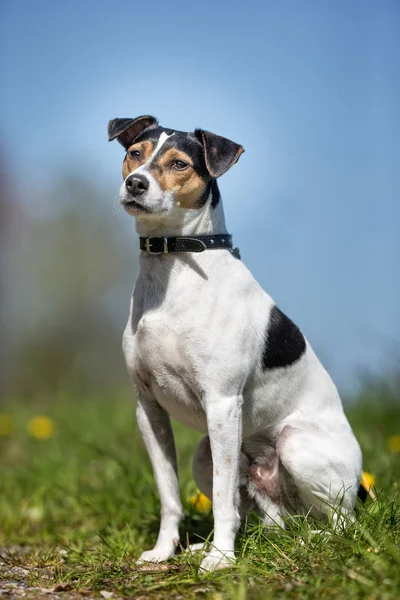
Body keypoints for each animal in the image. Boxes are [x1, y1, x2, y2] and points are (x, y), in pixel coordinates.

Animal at [107, 115, 362, 568]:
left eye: (179, 164)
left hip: (295, 444)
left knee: (339, 524)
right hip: (206, 454)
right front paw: (163, 550)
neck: (173, 268)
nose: (136, 183)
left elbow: (223, 499)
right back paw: (214, 544)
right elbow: (169, 493)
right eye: (134, 154)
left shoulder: (223, 401)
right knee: (270, 520)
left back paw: (303, 542)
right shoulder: (148, 408)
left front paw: (223, 559)